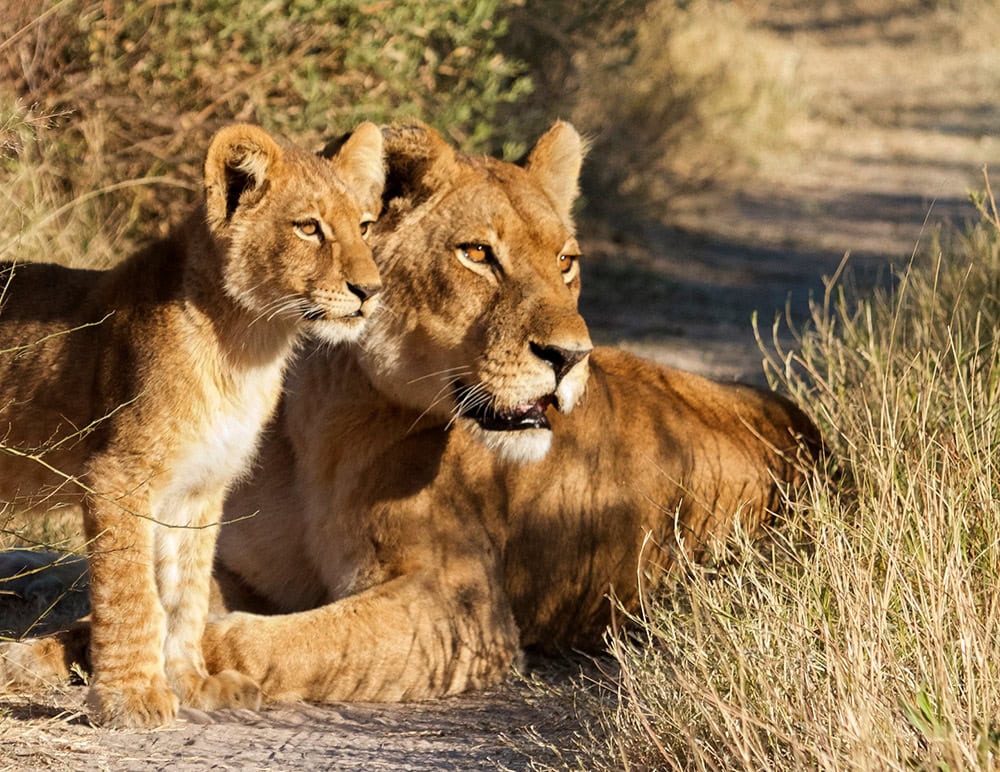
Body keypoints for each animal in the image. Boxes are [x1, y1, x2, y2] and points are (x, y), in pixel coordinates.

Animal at [0, 122, 384, 726]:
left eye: (365, 226)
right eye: (308, 227)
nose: (370, 292)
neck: (248, 345)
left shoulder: (199, 490)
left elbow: (186, 593)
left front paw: (192, 684)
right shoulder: (116, 477)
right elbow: (133, 595)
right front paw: (131, 699)